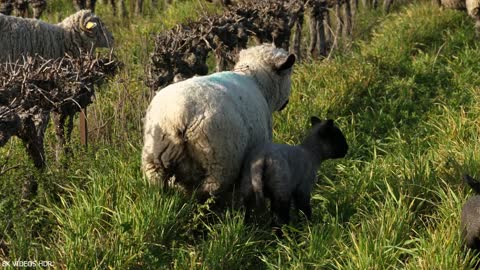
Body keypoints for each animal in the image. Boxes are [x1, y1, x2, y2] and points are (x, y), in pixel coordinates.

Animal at [141, 43, 294, 201]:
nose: (286, 103)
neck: (257, 82)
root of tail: (177, 117)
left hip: (154, 162)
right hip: (219, 163)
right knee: (208, 192)